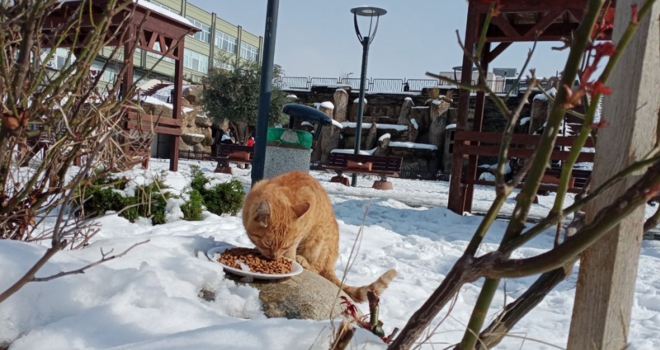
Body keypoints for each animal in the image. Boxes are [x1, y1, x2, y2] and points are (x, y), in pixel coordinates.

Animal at [242, 171, 398, 302]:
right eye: (268, 243)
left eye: (286, 244)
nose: (274, 257)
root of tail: (331, 262)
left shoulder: (302, 230)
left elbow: (293, 252)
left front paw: (290, 260)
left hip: (317, 239)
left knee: (316, 268)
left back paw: (303, 261)